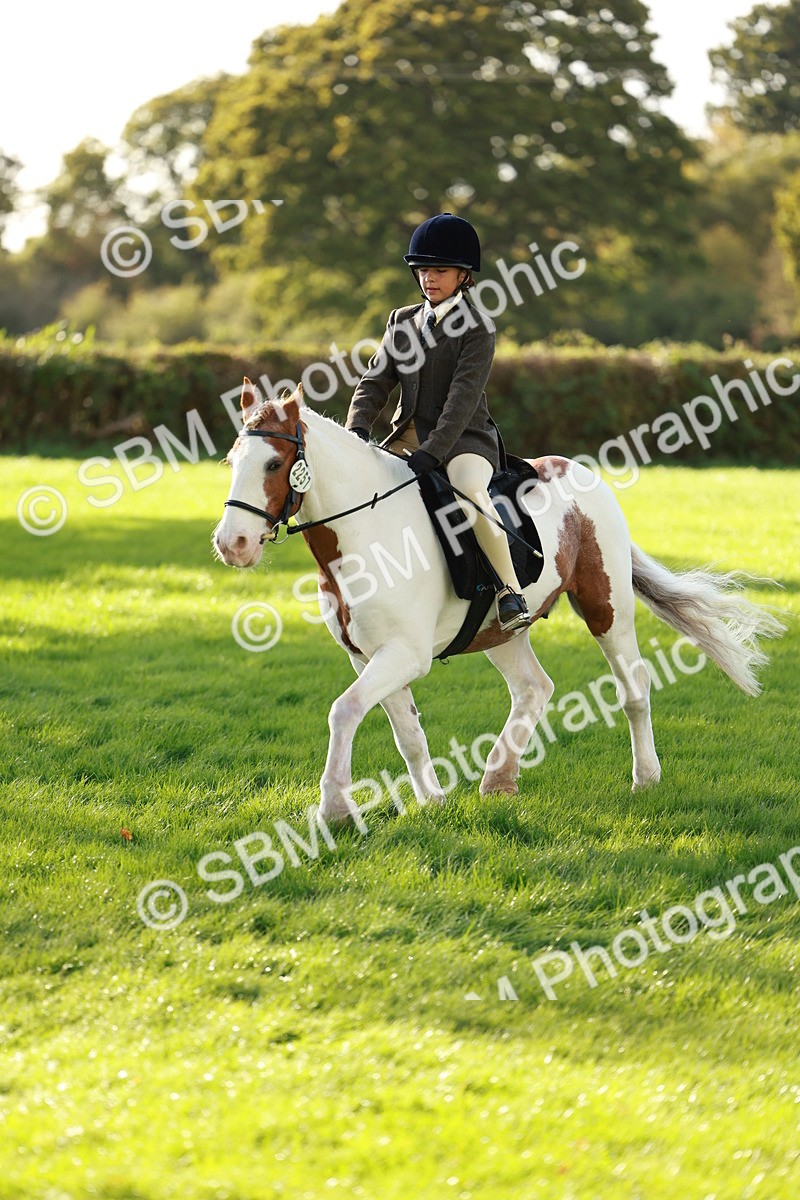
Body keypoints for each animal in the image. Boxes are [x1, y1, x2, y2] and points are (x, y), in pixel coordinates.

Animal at [213, 379, 783, 824]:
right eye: (231, 461)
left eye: (274, 463)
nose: (231, 543)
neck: (366, 532)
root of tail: (583, 473)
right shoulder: (367, 655)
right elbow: (406, 732)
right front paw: (433, 802)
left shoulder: (403, 655)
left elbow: (344, 710)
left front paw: (335, 809)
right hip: (500, 632)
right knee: (534, 688)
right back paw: (498, 779)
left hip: (607, 608)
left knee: (633, 687)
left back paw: (645, 778)